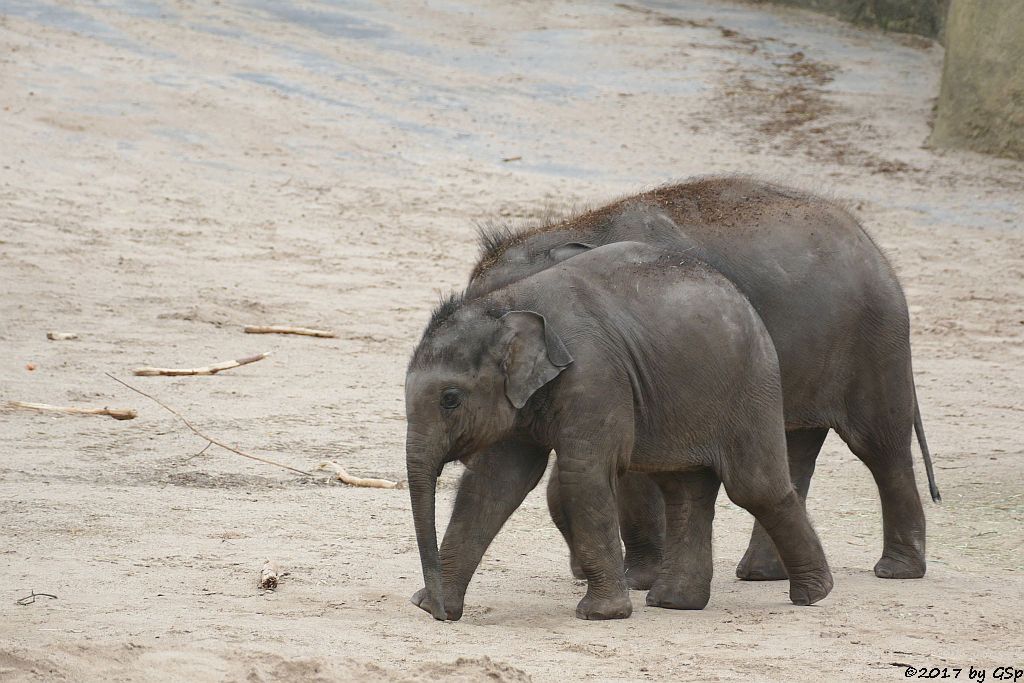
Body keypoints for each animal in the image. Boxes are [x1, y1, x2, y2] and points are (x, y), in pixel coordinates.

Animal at [403, 240, 835, 618]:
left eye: (450, 399)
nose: (432, 608)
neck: (506, 303)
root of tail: (742, 298)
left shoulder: (593, 373)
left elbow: (583, 476)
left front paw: (600, 614)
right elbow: (493, 482)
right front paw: (433, 608)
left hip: (751, 386)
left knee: (755, 487)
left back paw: (813, 593)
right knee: (684, 489)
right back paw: (674, 603)